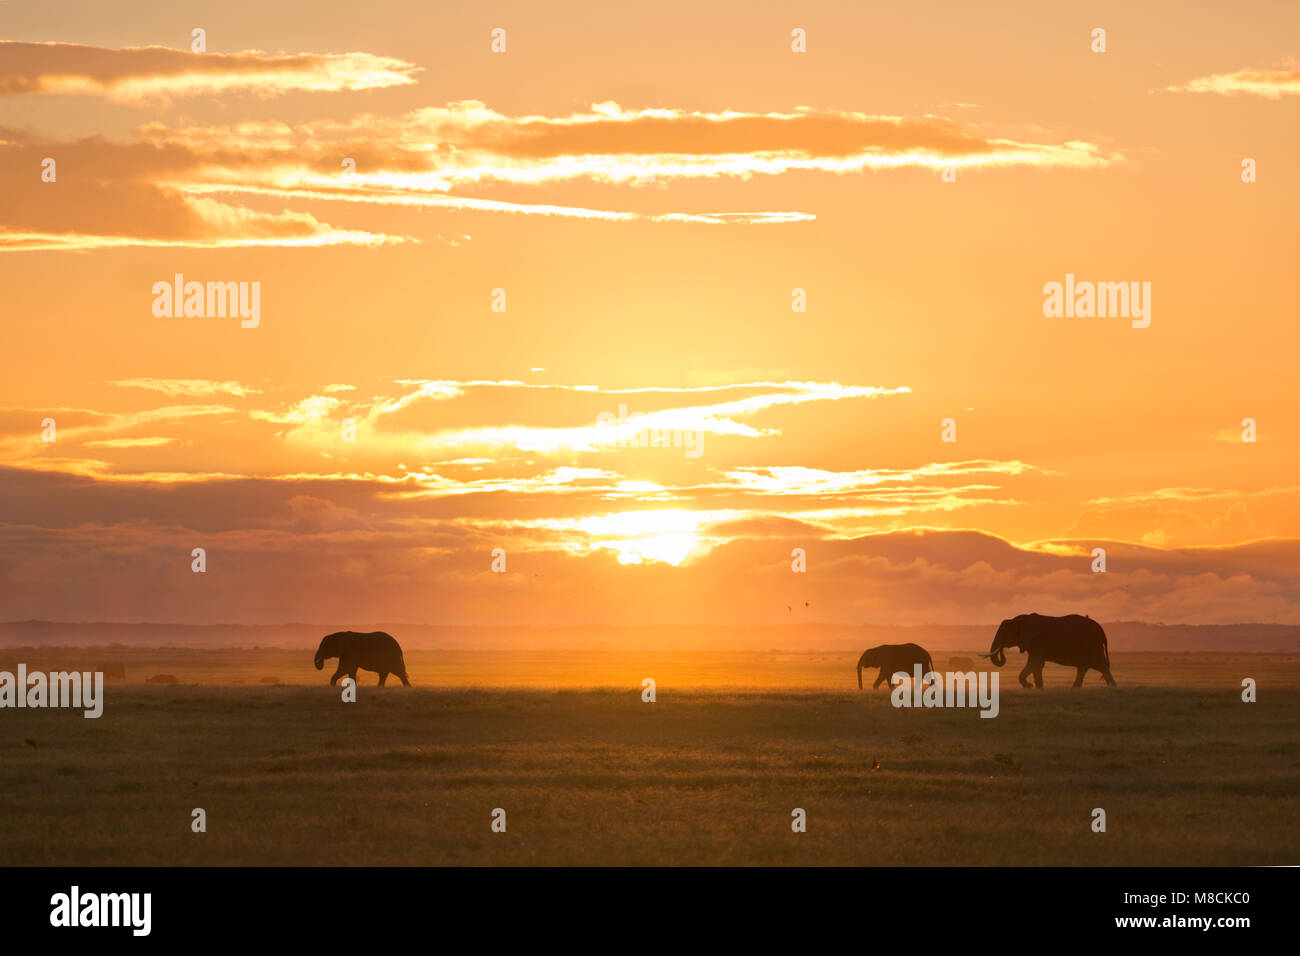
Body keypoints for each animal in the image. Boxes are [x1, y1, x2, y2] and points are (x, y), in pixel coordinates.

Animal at [977, 613, 1112, 686]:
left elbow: (1035, 664)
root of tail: (1101, 630)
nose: (1002, 649)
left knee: (1100, 667)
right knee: (1085, 668)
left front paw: (1030, 686)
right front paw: (1036, 688)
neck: (1021, 619)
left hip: (1092, 646)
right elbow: (1036, 665)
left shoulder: (1037, 642)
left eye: (1004, 634)